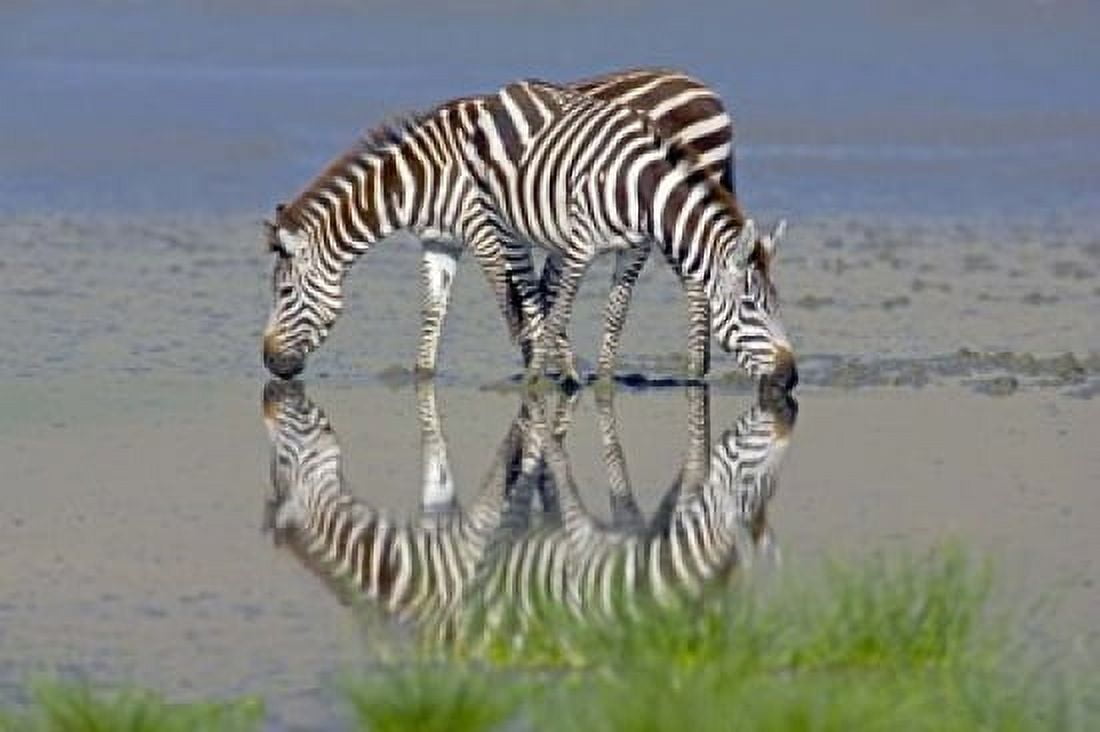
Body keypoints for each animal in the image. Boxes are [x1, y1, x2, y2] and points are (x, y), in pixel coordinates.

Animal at [261, 68, 737, 380]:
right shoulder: (439, 242)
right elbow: (433, 312)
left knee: (698, 285)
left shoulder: (489, 232)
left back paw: (695, 373)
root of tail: (704, 88)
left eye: (284, 293)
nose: (269, 364)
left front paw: (548, 373)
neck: (423, 176)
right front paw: (423, 375)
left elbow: (516, 307)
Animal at [465, 79, 795, 389]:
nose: (790, 377)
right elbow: (561, 311)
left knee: (545, 289)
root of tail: (510, 89)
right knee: (531, 294)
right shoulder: (582, 245)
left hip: (558, 236)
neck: (641, 189)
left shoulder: (635, 248)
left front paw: (603, 382)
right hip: (504, 224)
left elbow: (616, 314)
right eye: (749, 305)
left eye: (777, 304)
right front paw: (535, 383)